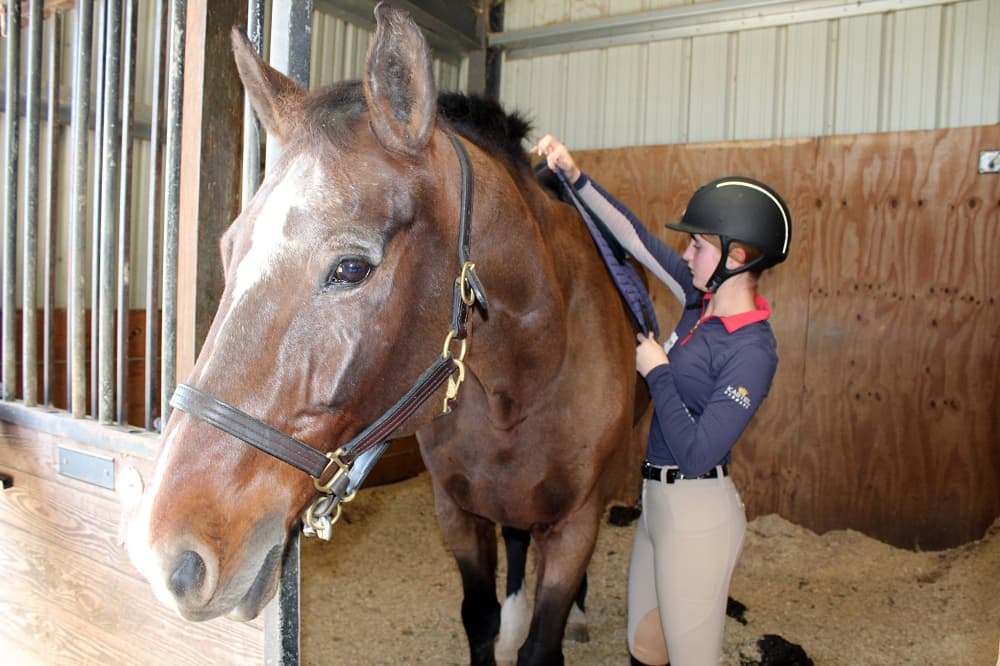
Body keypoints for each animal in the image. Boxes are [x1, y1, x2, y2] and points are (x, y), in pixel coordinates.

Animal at [126, 5, 645, 664]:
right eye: (225, 248)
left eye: (351, 268)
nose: (166, 557)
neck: (525, 384)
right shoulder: (458, 514)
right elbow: (479, 616)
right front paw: (502, 626)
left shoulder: (577, 522)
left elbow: (542, 642)